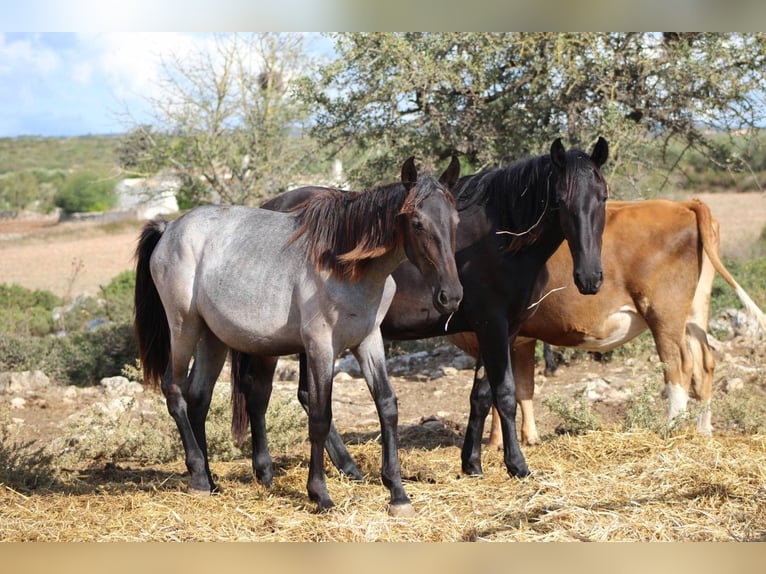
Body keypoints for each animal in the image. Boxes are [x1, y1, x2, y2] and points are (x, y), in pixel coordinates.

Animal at [134, 158, 462, 516]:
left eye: (455, 220)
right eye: (417, 223)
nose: (451, 296)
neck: (343, 265)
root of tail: (168, 229)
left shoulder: (368, 340)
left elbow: (386, 405)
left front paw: (398, 495)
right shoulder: (320, 346)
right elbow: (320, 415)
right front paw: (320, 494)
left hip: (213, 338)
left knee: (199, 397)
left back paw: (210, 481)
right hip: (184, 328)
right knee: (175, 389)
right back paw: (196, 477)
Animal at [234, 137, 612, 484]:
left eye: (603, 196)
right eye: (560, 201)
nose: (590, 278)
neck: (499, 239)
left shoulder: (504, 329)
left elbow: (481, 396)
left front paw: (472, 464)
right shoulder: (493, 325)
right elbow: (504, 394)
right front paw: (517, 465)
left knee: (304, 395)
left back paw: (349, 468)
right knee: (260, 394)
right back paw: (267, 470)